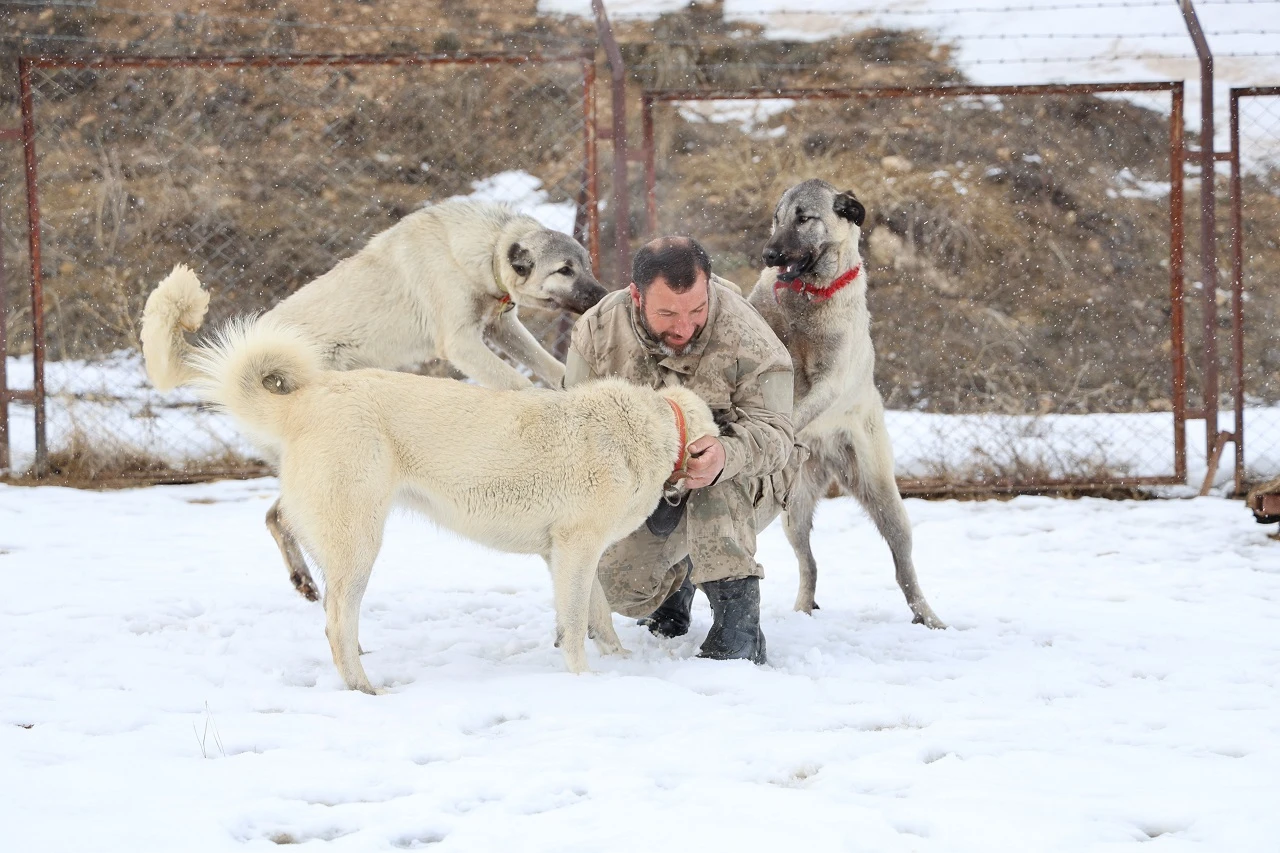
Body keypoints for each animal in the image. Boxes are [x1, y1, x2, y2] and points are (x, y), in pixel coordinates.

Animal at [142, 198, 601, 601]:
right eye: (564, 270)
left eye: (586, 265)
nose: (601, 294)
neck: (485, 250)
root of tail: (221, 364)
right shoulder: (462, 342)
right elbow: (518, 382)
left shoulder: (502, 329)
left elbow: (548, 365)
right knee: (282, 518)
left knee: (276, 516)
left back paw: (303, 580)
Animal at [160, 306, 716, 691]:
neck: (652, 427)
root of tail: (304, 398)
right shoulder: (576, 550)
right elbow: (579, 623)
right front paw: (585, 679)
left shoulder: (563, 555)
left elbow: (596, 618)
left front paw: (621, 663)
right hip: (360, 544)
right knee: (336, 621)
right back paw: (365, 688)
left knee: (317, 583)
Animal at [747, 178, 947, 625]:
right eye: (777, 218)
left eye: (804, 218)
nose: (768, 254)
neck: (809, 294)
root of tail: (825, 454)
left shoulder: (830, 381)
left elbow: (801, 405)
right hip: (794, 512)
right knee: (809, 563)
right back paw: (804, 607)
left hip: (884, 499)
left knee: (904, 567)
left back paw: (928, 616)